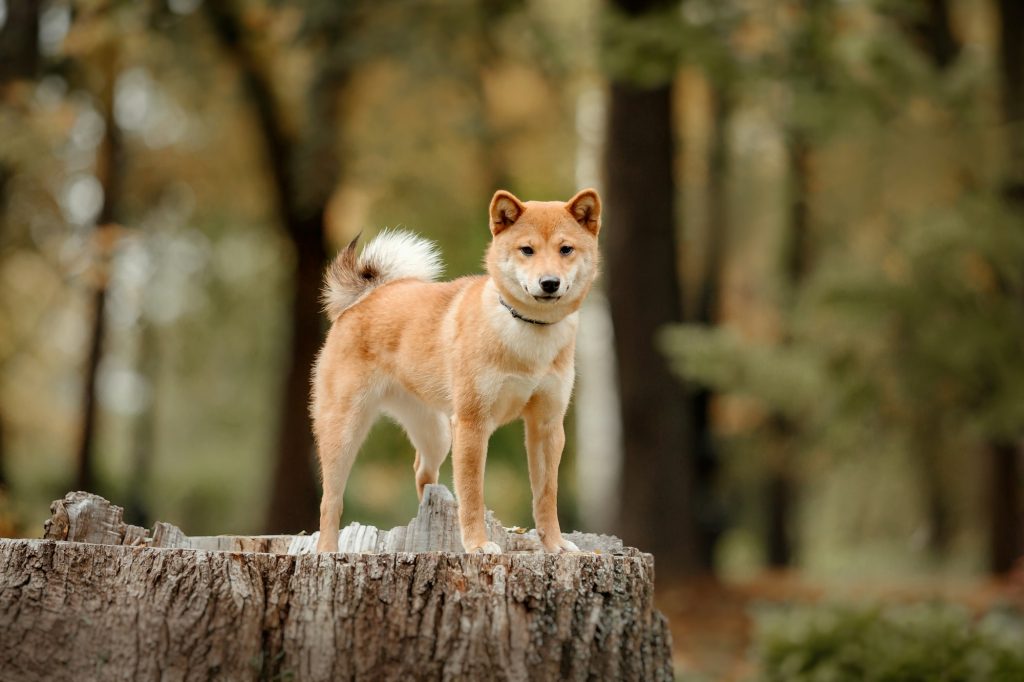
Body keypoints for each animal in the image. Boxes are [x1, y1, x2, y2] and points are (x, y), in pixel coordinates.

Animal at [311, 187, 598, 552]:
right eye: (527, 250)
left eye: (565, 249)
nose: (549, 283)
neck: (527, 333)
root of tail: (364, 298)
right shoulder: (473, 424)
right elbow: (473, 493)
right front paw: (477, 545)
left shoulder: (547, 425)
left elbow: (546, 495)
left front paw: (555, 545)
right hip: (344, 430)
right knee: (330, 501)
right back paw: (327, 551)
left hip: (436, 432)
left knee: (423, 472)